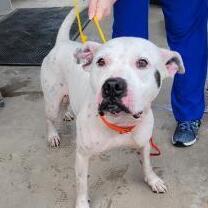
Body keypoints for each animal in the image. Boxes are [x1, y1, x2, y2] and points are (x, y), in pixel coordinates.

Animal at [41, 4, 185, 208]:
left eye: (142, 62)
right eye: (100, 61)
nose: (112, 85)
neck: (121, 122)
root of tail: (62, 43)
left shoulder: (144, 142)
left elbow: (147, 163)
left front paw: (152, 180)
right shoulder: (82, 155)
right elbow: (81, 183)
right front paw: (82, 203)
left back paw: (69, 113)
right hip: (52, 101)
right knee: (50, 119)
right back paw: (53, 135)